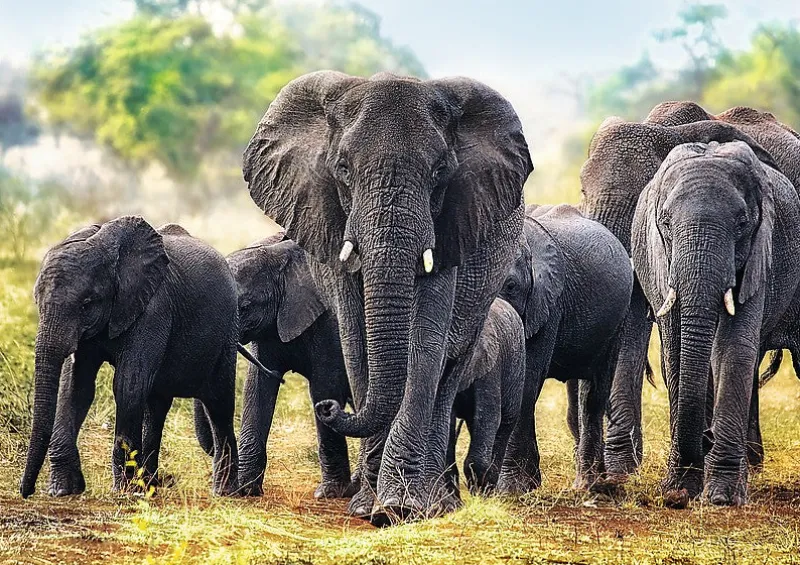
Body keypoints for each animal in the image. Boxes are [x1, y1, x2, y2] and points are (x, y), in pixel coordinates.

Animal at [20, 218, 240, 498]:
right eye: (37, 301)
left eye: (86, 304)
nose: (26, 491)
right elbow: (76, 387)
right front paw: (63, 490)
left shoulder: (154, 308)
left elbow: (128, 385)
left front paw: (123, 491)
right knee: (157, 406)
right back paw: (151, 485)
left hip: (228, 332)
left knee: (219, 403)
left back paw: (226, 491)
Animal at [199, 233, 357, 500]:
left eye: (244, 307)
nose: (212, 450)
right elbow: (258, 386)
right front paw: (246, 490)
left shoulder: (331, 323)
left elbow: (324, 387)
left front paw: (329, 493)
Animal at [242, 71, 533, 521]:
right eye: (343, 169)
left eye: (440, 170)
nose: (328, 407)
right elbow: (356, 338)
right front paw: (367, 506)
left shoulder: (452, 222)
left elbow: (426, 342)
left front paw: (398, 506)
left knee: (450, 369)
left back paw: (439, 502)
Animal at [496, 204, 633, 491]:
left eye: (511, 287)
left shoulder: (548, 304)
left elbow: (526, 382)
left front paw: (512, 490)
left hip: (617, 321)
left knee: (592, 396)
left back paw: (589, 486)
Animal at [632, 141, 800, 507]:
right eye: (665, 223)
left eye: (742, 223)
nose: (706, 437)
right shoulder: (659, 262)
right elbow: (676, 353)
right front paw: (678, 491)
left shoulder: (759, 255)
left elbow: (732, 349)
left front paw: (722, 497)